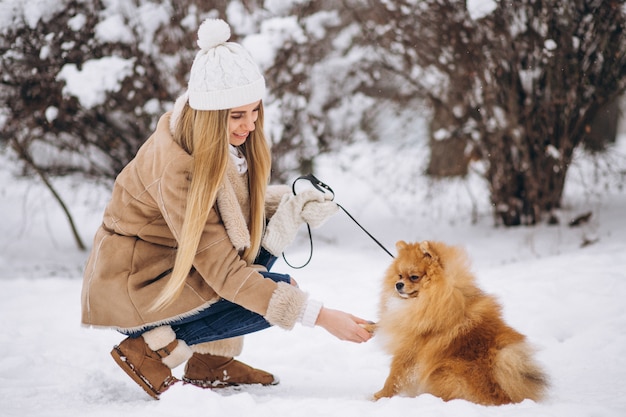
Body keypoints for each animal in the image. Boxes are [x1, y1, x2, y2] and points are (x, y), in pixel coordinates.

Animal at [366, 240, 544, 404]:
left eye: (414, 277)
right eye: (399, 275)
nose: (398, 285)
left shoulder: (409, 351)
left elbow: (394, 378)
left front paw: (378, 397)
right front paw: (368, 326)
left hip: (444, 372)